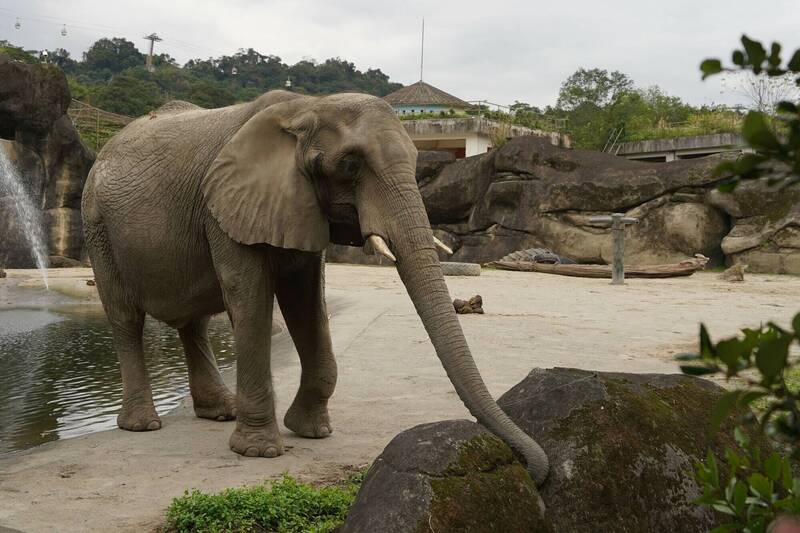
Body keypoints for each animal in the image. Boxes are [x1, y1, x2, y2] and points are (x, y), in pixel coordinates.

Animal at [81, 90, 549, 485]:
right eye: (351, 166)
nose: (534, 471)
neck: (306, 108)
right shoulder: (226, 207)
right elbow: (249, 296)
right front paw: (259, 452)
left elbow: (306, 299)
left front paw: (311, 432)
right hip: (97, 225)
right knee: (125, 318)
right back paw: (143, 425)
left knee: (193, 322)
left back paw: (219, 412)